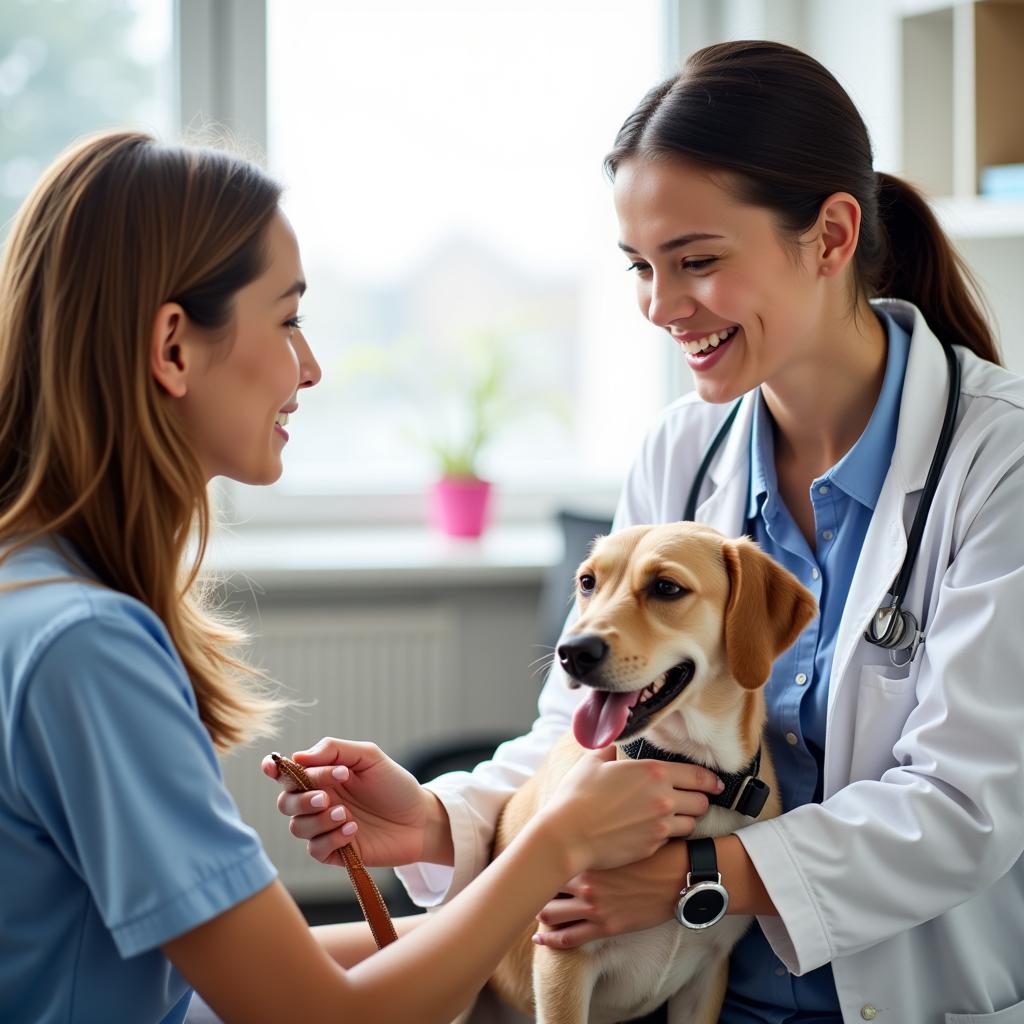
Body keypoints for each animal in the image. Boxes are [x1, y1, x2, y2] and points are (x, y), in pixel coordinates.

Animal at [487, 524, 815, 1019]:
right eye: (588, 583)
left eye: (666, 587)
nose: (571, 652)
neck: (687, 762)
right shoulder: (562, 968)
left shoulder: (707, 976)